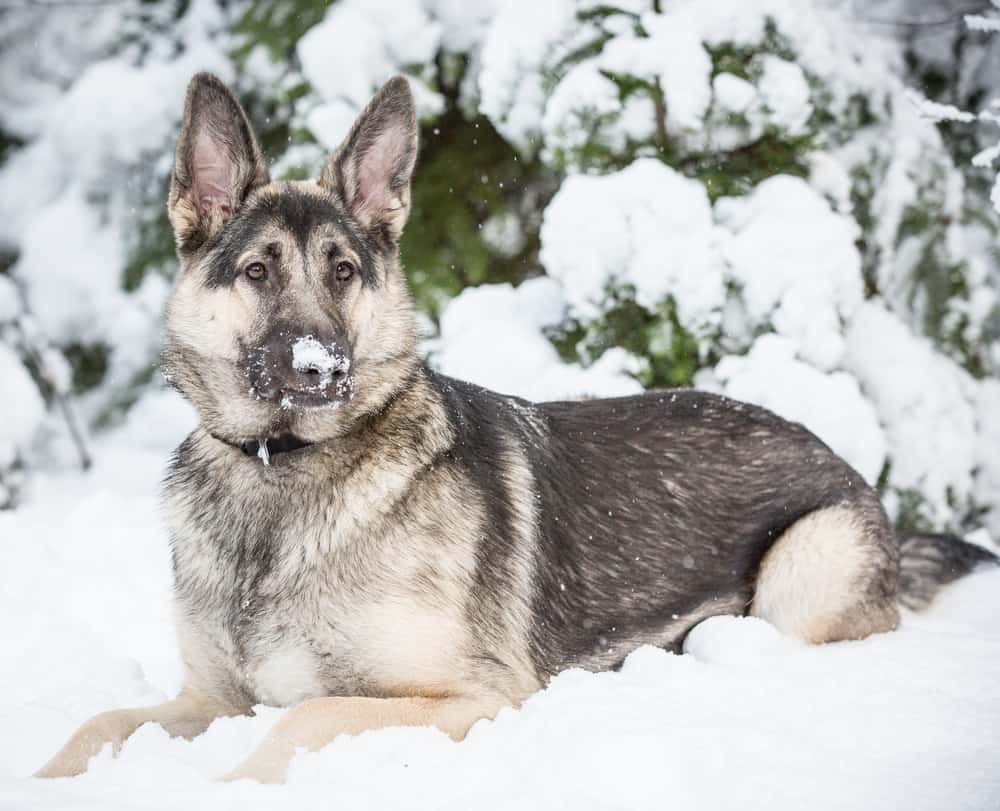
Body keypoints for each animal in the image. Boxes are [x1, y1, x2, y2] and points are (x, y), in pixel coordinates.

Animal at [35, 74, 996, 780]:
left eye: (343, 271)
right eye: (259, 271)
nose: (320, 369)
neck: (281, 475)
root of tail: (847, 462)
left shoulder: (471, 696)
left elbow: (300, 718)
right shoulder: (207, 702)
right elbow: (93, 724)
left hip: (800, 573)